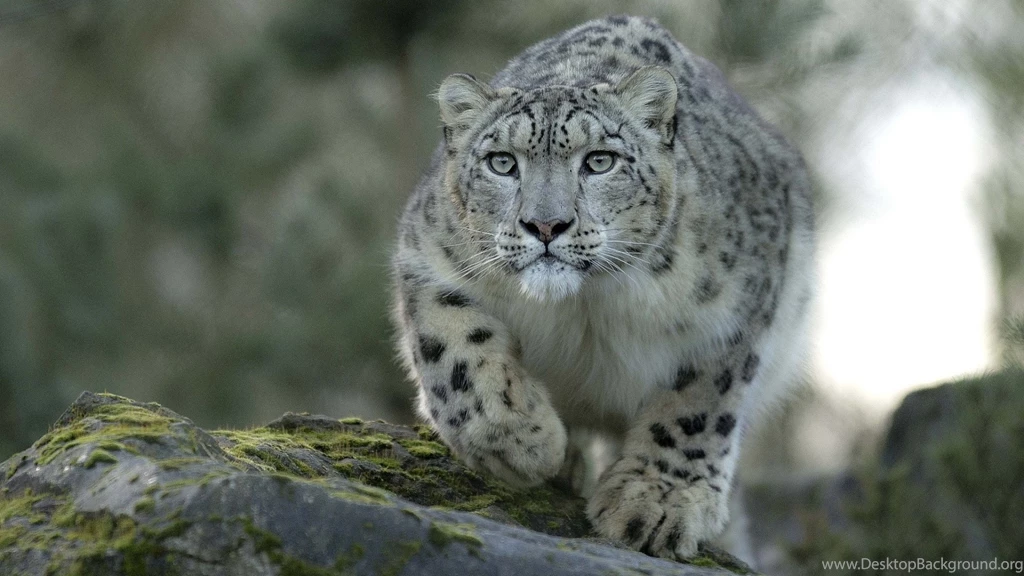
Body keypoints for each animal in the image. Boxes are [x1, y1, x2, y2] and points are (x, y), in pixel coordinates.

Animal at [390, 14, 814, 562]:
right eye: (502, 162)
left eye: (599, 161)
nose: (545, 225)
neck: (584, 306)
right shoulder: (427, 258)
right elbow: (456, 351)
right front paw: (523, 442)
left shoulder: (737, 311)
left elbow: (698, 404)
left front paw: (656, 503)